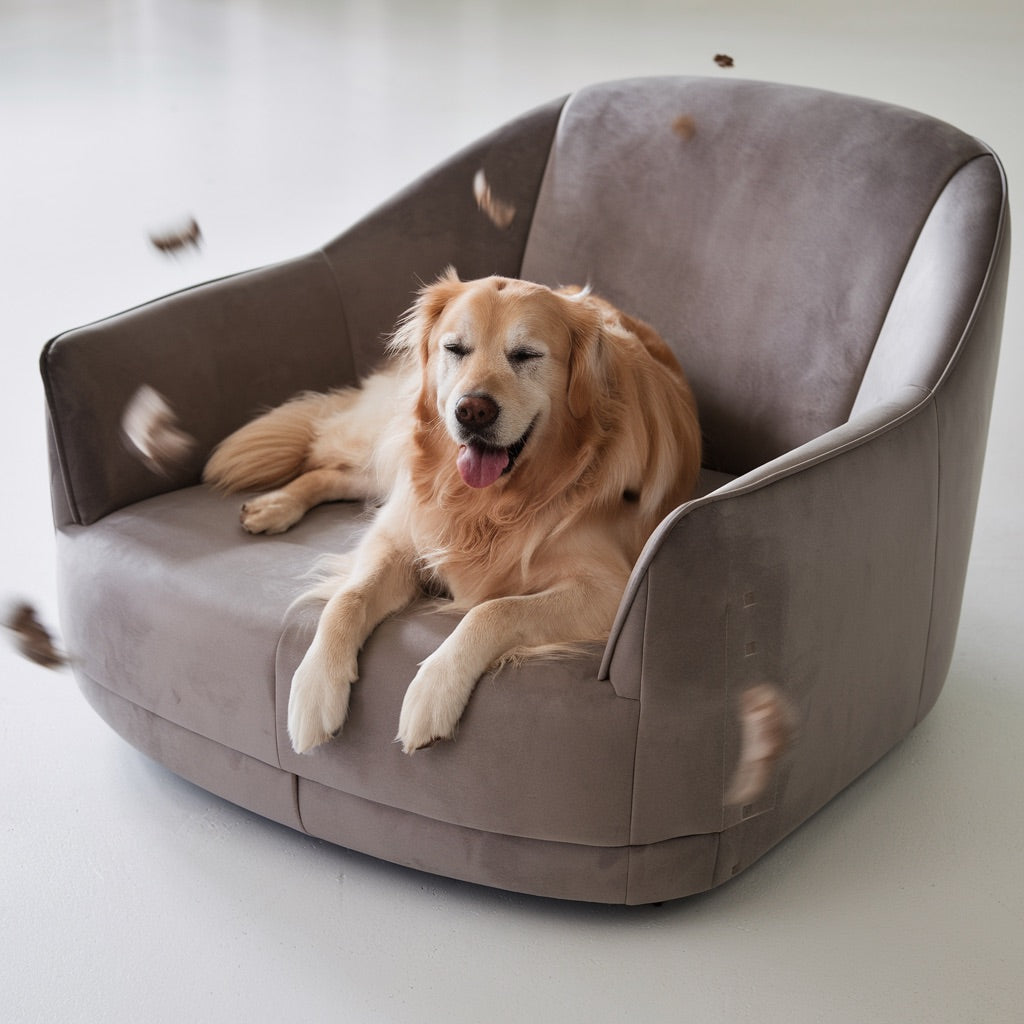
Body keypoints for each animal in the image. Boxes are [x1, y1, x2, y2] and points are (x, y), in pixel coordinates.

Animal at [205, 270, 704, 753]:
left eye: (525, 355)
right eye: (455, 349)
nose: (472, 411)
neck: (493, 503)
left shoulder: (611, 590)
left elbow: (493, 611)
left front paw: (433, 692)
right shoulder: (402, 536)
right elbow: (349, 598)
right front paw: (314, 687)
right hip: (394, 458)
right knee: (329, 466)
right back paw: (274, 505)